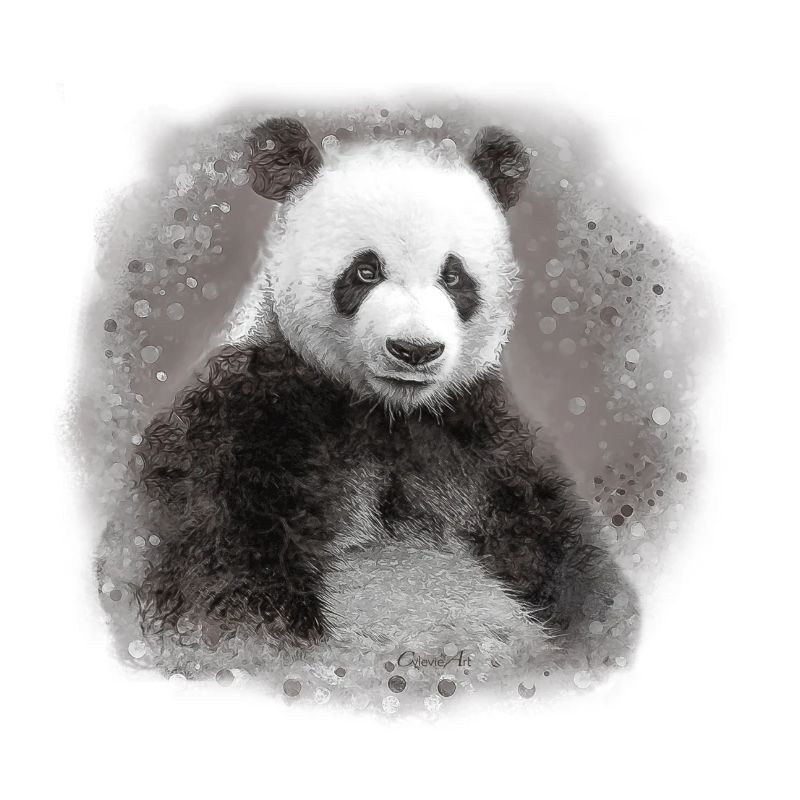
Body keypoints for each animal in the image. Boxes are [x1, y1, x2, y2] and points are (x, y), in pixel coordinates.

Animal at [135, 117, 632, 662]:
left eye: (453, 276)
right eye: (366, 270)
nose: (415, 350)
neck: (387, 412)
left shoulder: (481, 436)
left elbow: (569, 555)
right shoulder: (249, 416)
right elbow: (222, 575)